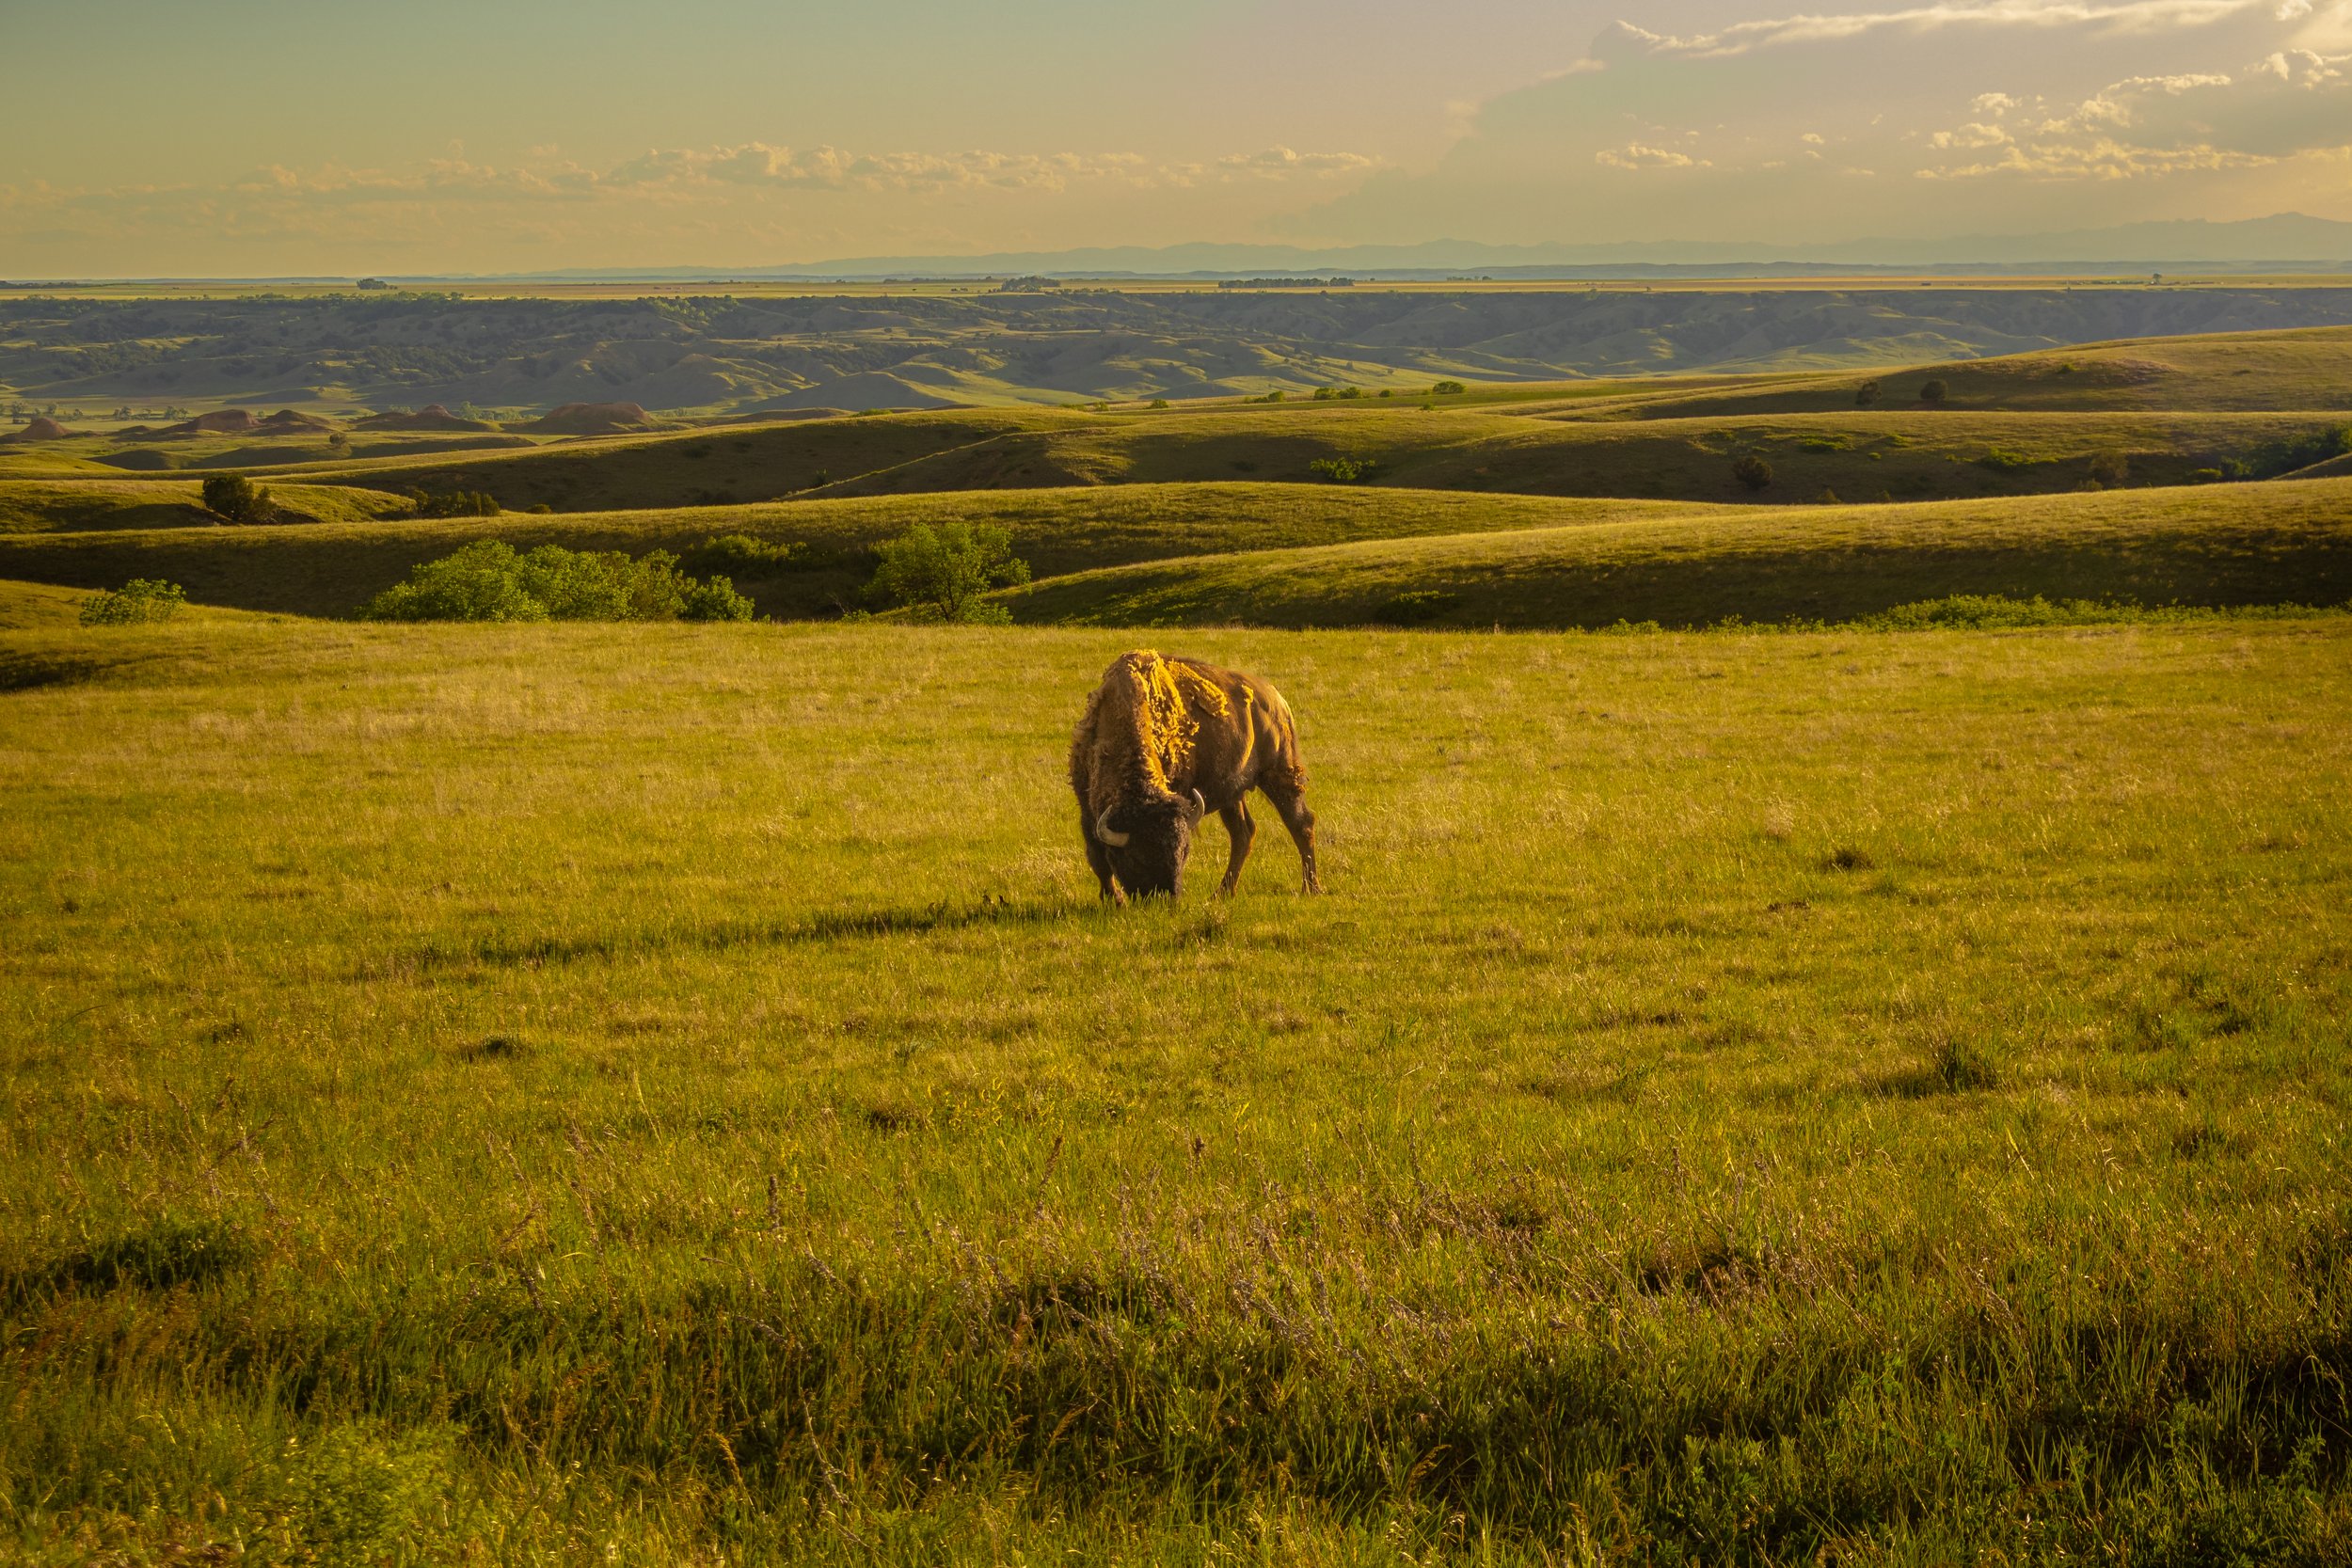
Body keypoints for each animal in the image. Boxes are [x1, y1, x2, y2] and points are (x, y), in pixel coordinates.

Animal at [1069, 650, 1321, 902]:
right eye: (1136, 858)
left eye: (1183, 852)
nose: (1166, 897)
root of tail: (1276, 699)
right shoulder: (1087, 810)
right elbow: (1097, 858)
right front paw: (1114, 899)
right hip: (1232, 794)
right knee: (1243, 833)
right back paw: (1222, 892)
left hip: (1280, 773)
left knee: (1301, 824)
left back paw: (1311, 888)